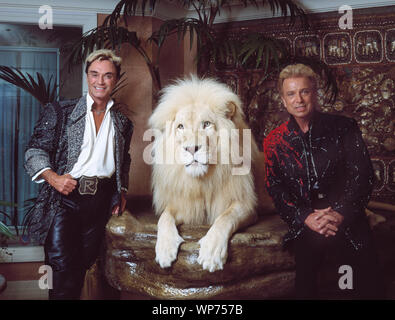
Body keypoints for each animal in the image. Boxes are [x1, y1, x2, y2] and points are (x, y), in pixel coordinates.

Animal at [148, 75, 260, 272]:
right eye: (180, 126)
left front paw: (211, 253)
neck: (203, 179)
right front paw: (164, 250)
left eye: (206, 124)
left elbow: (225, 218)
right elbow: (164, 218)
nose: (192, 148)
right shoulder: (185, 205)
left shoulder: (248, 205)